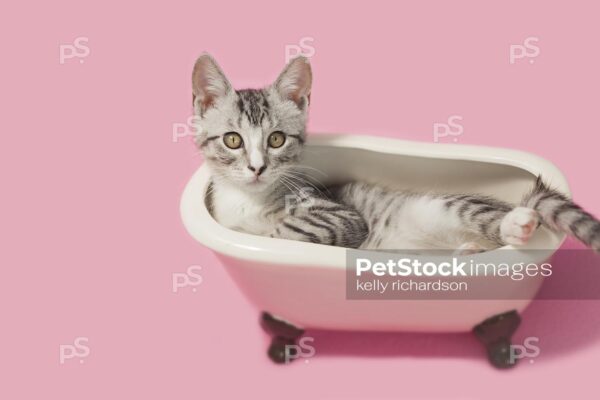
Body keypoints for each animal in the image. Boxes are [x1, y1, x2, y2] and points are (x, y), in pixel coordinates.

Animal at [192, 54, 600, 252]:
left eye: (276, 140)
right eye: (233, 140)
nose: (257, 168)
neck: (249, 202)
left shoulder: (339, 215)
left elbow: (287, 232)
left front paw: (270, 238)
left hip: (443, 206)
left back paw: (516, 224)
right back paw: (468, 252)